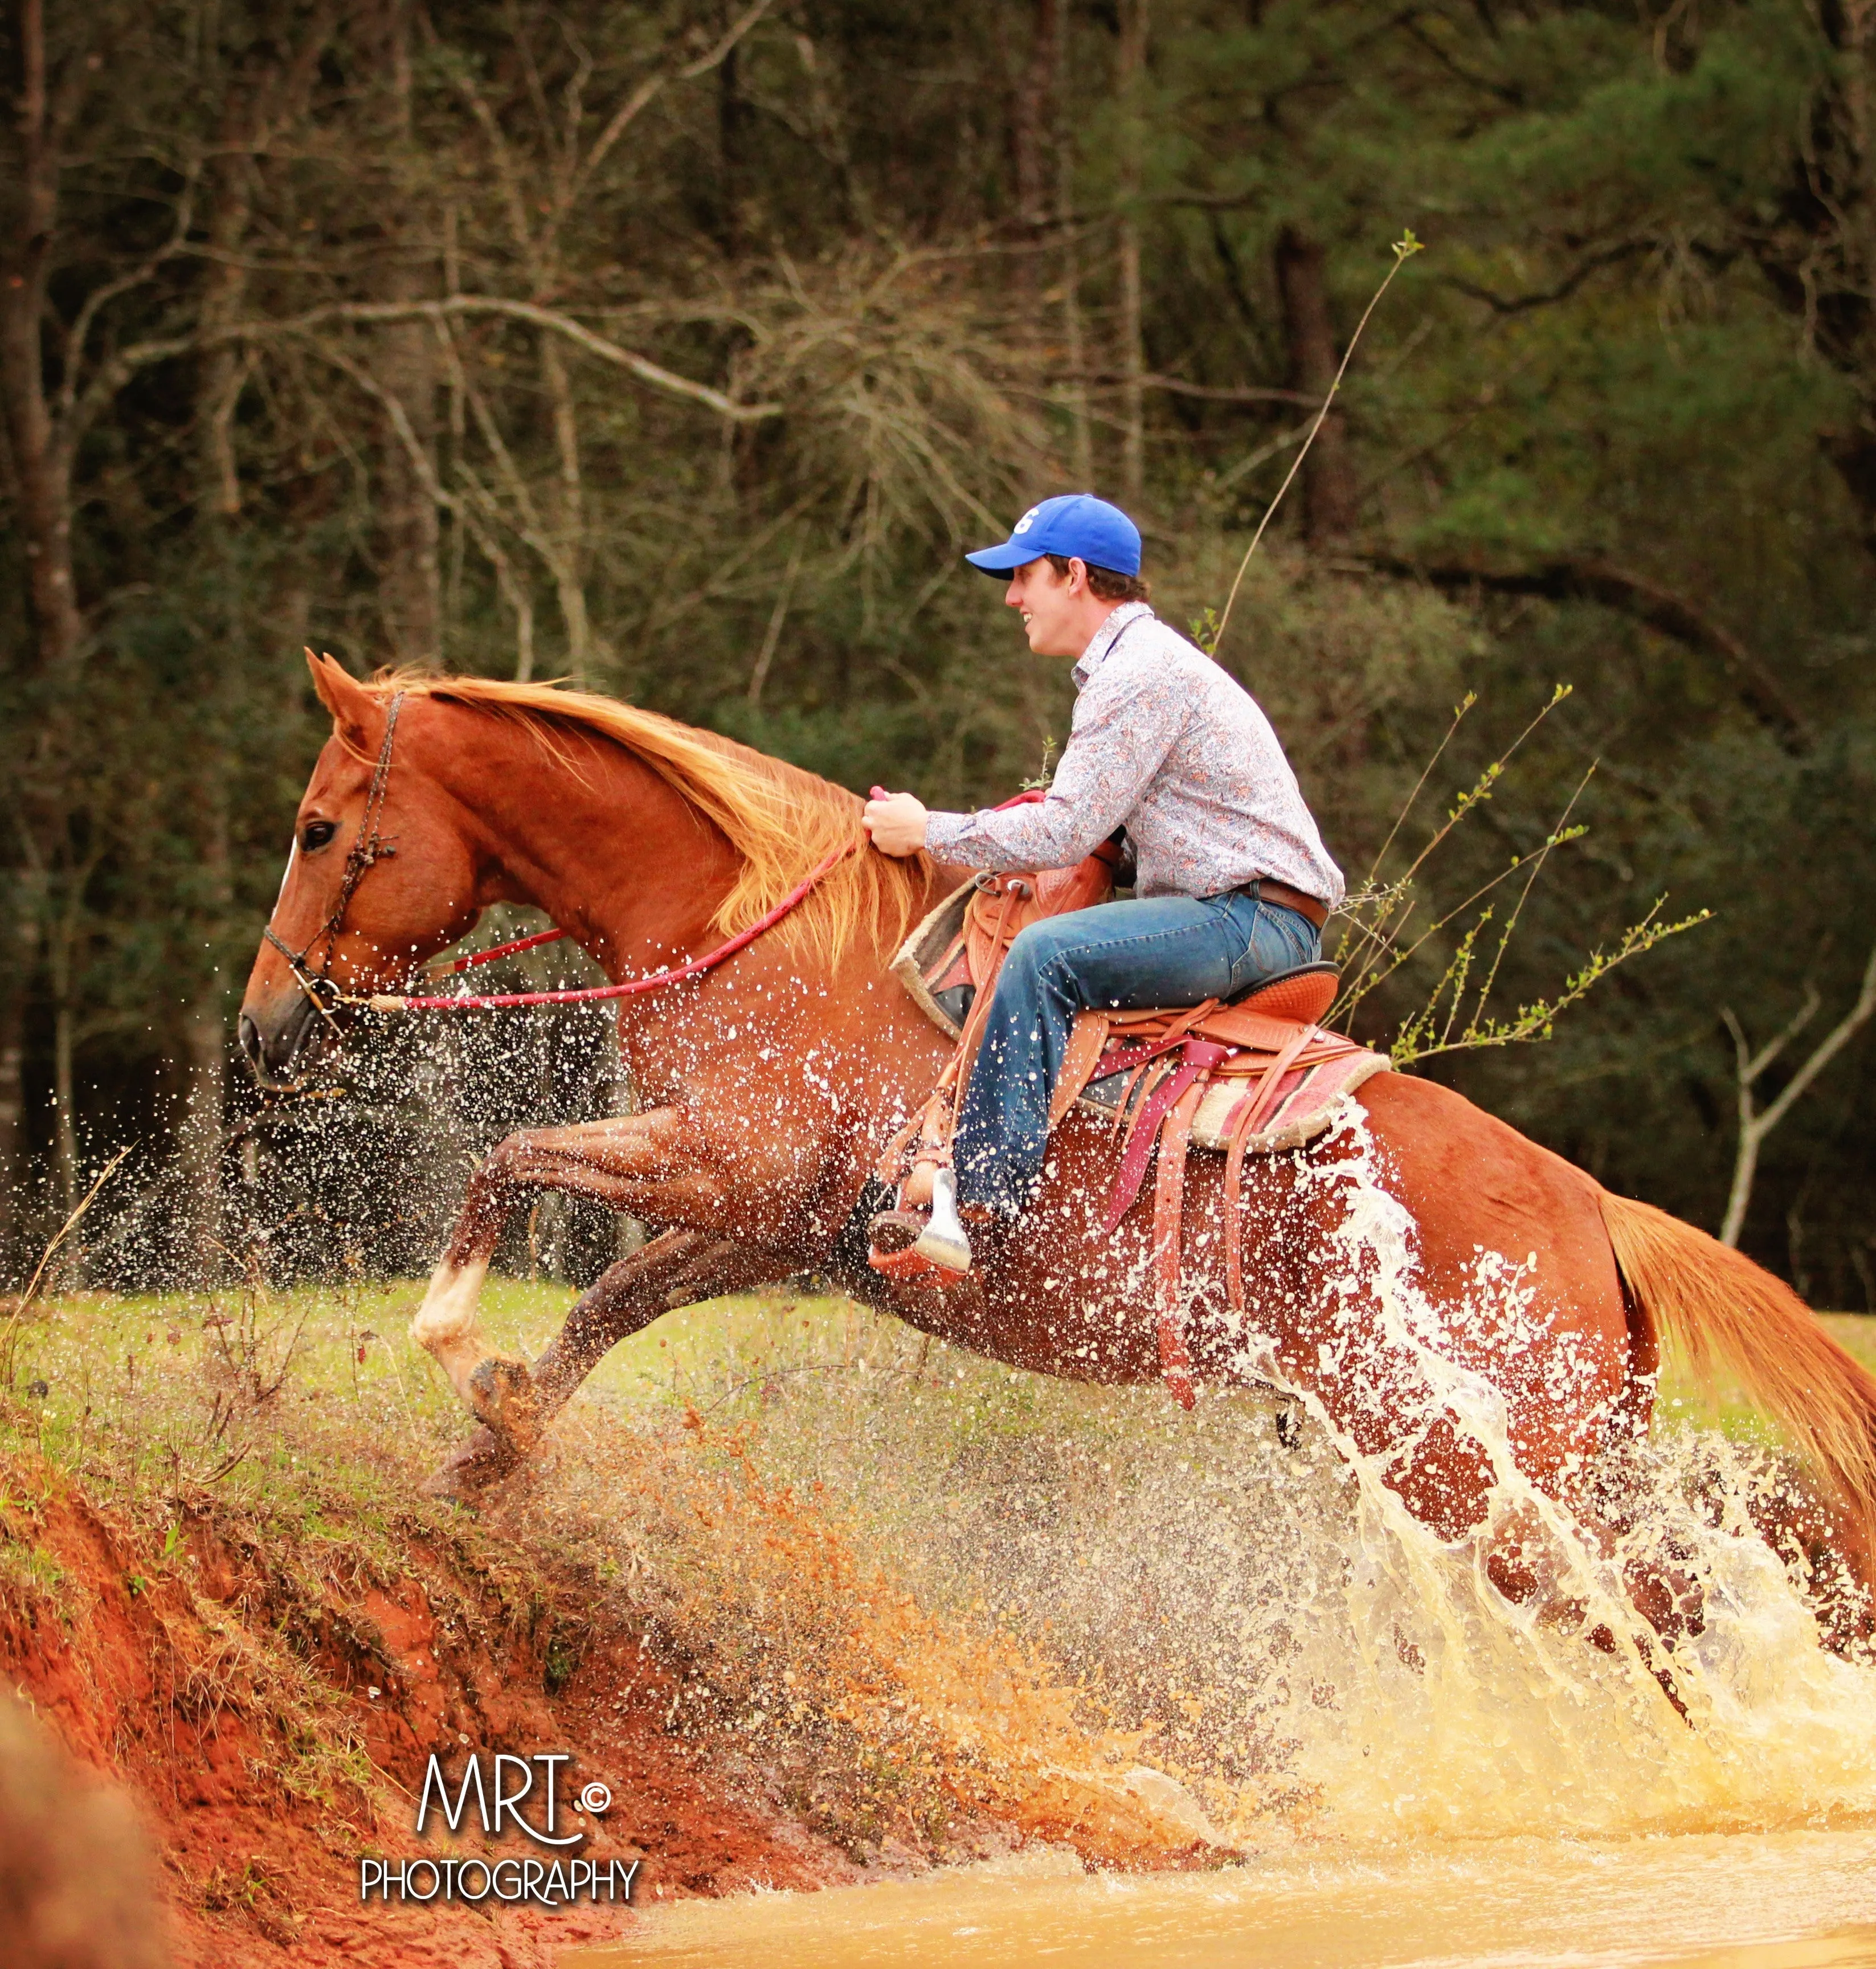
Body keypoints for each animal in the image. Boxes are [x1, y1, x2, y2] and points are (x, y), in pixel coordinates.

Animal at [239, 655, 1876, 1651]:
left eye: (319, 827)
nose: (263, 1028)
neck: (740, 928)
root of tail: (1594, 1210)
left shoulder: (724, 1165)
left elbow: (509, 1161)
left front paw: (455, 1349)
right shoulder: (771, 1225)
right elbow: (603, 1304)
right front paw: (494, 1442)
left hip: (1468, 1457)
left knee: (1647, 1606)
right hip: (1539, 1452)